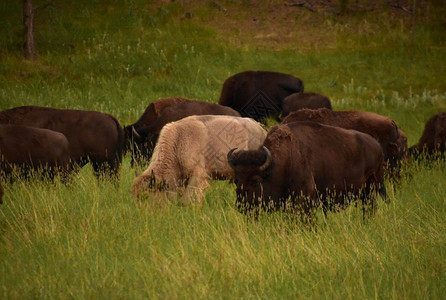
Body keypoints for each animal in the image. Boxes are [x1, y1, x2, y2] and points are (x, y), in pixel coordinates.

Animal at [228, 120, 386, 219]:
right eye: (236, 180)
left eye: (256, 181)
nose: (241, 206)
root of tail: (377, 146)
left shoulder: (305, 199)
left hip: (370, 190)